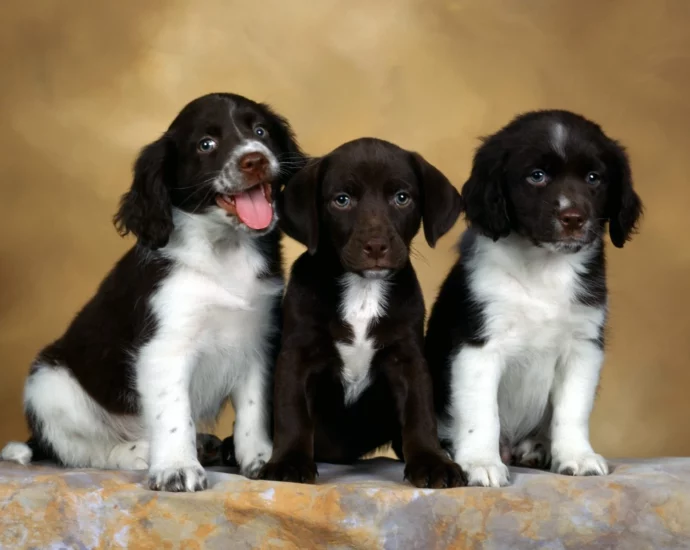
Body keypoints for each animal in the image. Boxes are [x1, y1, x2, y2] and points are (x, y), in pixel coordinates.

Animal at [0, 92, 306, 494]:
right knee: (79, 450)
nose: (254, 159)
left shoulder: (258, 341)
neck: (224, 252)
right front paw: (176, 467)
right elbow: (173, 413)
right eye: (206, 145)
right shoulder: (164, 348)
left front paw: (260, 458)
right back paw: (140, 452)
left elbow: (254, 410)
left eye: (261, 132)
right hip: (49, 383)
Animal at [260, 139, 464, 492]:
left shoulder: (408, 358)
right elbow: (292, 413)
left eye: (402, 197)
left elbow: (420, 414)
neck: (363, 289)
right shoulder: (296, 355)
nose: (376, 245)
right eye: (342, 200)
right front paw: (288, 462)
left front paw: (432, 461)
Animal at [424, 111, 640, 488]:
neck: (544, 270)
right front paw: (481, 462)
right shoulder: (477, 345)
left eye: (594, 178)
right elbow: (481, 412)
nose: (573, 219)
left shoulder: (583, 346)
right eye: (536, 176)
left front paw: (577, 457)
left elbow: (572, 409)